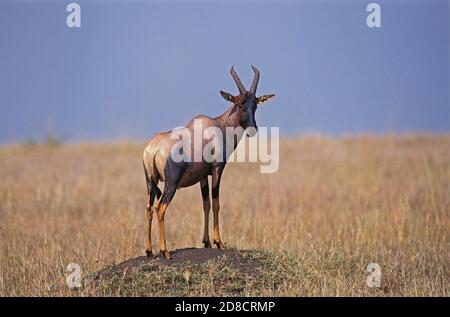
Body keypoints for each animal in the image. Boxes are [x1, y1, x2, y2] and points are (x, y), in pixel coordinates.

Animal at [142, 65, 274, 258]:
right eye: (239, 103)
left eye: (255, 105)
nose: (252, 130)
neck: (218, 125)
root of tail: (153, 148)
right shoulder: (217, 169)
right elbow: (217, 203)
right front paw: (218, 242)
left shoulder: (203, 176)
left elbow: (206, 204)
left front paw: (206, 242)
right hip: (171, 184)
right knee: (161, 208)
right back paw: (165, 251)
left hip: (150, 182)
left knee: (149, 208)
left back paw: (149, 250)